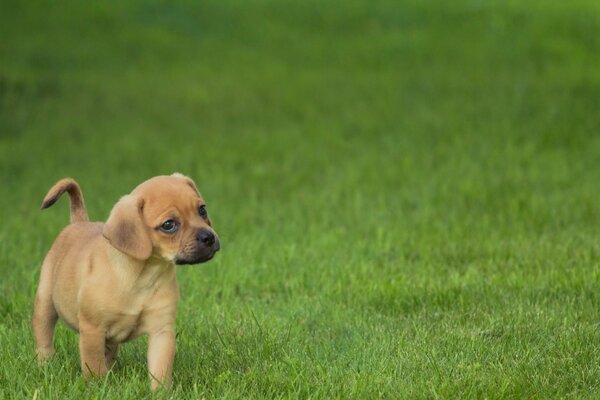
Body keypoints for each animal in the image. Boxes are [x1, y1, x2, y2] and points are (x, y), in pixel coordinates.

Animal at [32, 173, 220, 390]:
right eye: (168, 225)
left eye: (202, 210)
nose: (209, 237)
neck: (142, 276)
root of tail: (78, 223)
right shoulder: (92, 330)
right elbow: (93, 365)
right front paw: (99, 387)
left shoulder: (161, 331)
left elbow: (160, 368)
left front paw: (161, 392)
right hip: (45, 303)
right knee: (44, 337)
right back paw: (45, 364)